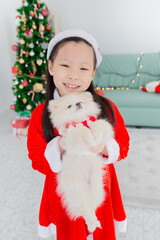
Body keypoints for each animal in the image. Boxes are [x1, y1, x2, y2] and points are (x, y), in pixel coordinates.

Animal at [48, 90, 113, 232]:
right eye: (69, 106)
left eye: (80, 101)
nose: (78, 104)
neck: (80, 120)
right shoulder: (71, 135)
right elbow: (81, 130)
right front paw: (89, 137)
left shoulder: (94, 122)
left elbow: (98, 125)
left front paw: (96, 138)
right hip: (77, 191)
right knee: (85, 209)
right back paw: (91, 224)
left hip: (96, 188)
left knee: (92, 206)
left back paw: (94, 222)